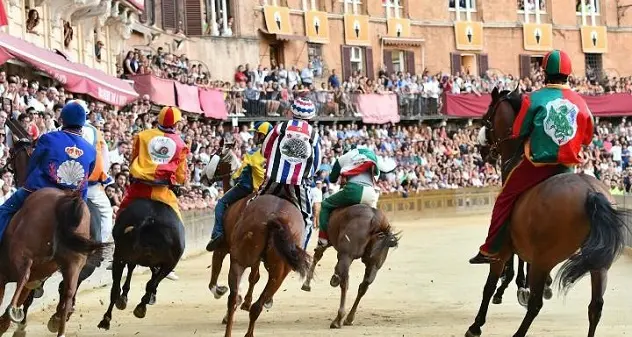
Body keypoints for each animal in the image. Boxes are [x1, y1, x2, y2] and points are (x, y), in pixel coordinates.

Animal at [0, 186, 105, 336]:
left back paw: (13, 311)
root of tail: (67, 200)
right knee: (68, 291)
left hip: (23, 252)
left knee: (24, 273)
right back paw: (60, 326)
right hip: (74, 264)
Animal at [96, 197, 185, 328]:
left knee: (115, 288)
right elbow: (152, 282)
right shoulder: (167, 263)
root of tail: (147, 221)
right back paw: (139, 307)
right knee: (148, 282)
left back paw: (107, 319)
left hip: (120, 255)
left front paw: (125, 298)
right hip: (168, 262)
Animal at [222, 194, 312, 336]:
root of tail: (274, 218)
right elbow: (254, 277)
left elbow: (254, 276)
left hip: (239, 260)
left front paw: (246, 302)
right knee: (256, 305)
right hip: (279, 271)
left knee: (234, 299)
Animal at [466, 86, 628, 336]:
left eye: (486, 118)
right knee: (596, 307)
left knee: (535, 305)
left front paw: (477, 323)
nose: (482, 151)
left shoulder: (504, 247)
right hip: (600, 264)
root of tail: (591, 193)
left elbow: (490, 284)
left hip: (546, 258)